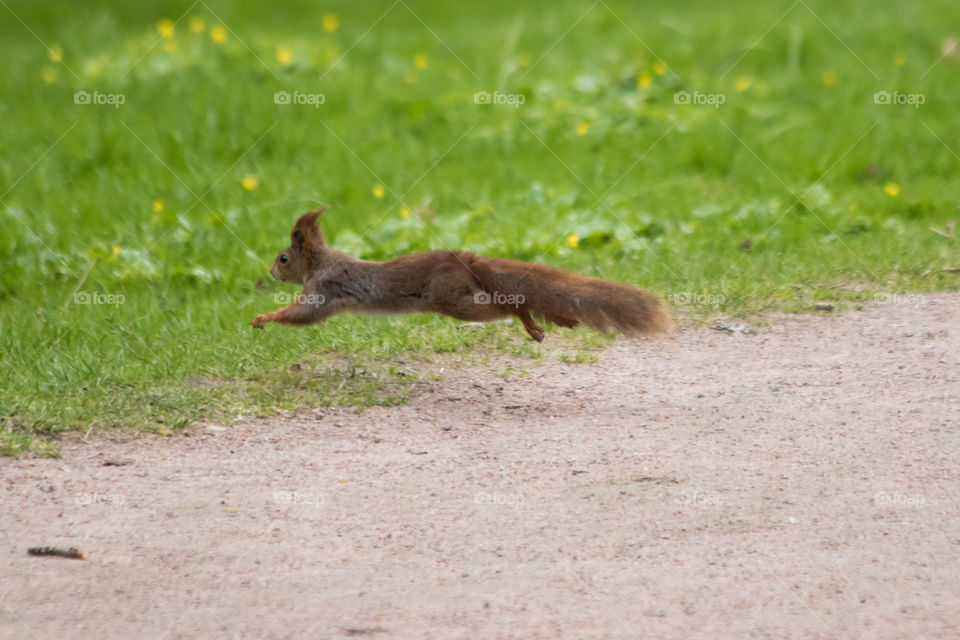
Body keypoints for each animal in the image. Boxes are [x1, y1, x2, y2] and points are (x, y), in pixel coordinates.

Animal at [251, 207, 673, 341]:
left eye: (284, 258)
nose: (271, 271)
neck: (320, 262)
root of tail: (465, 260)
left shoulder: (324, 288)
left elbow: (302, 314)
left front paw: (263, 317)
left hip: (452, 298)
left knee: (507, 304)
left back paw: (530, 323)